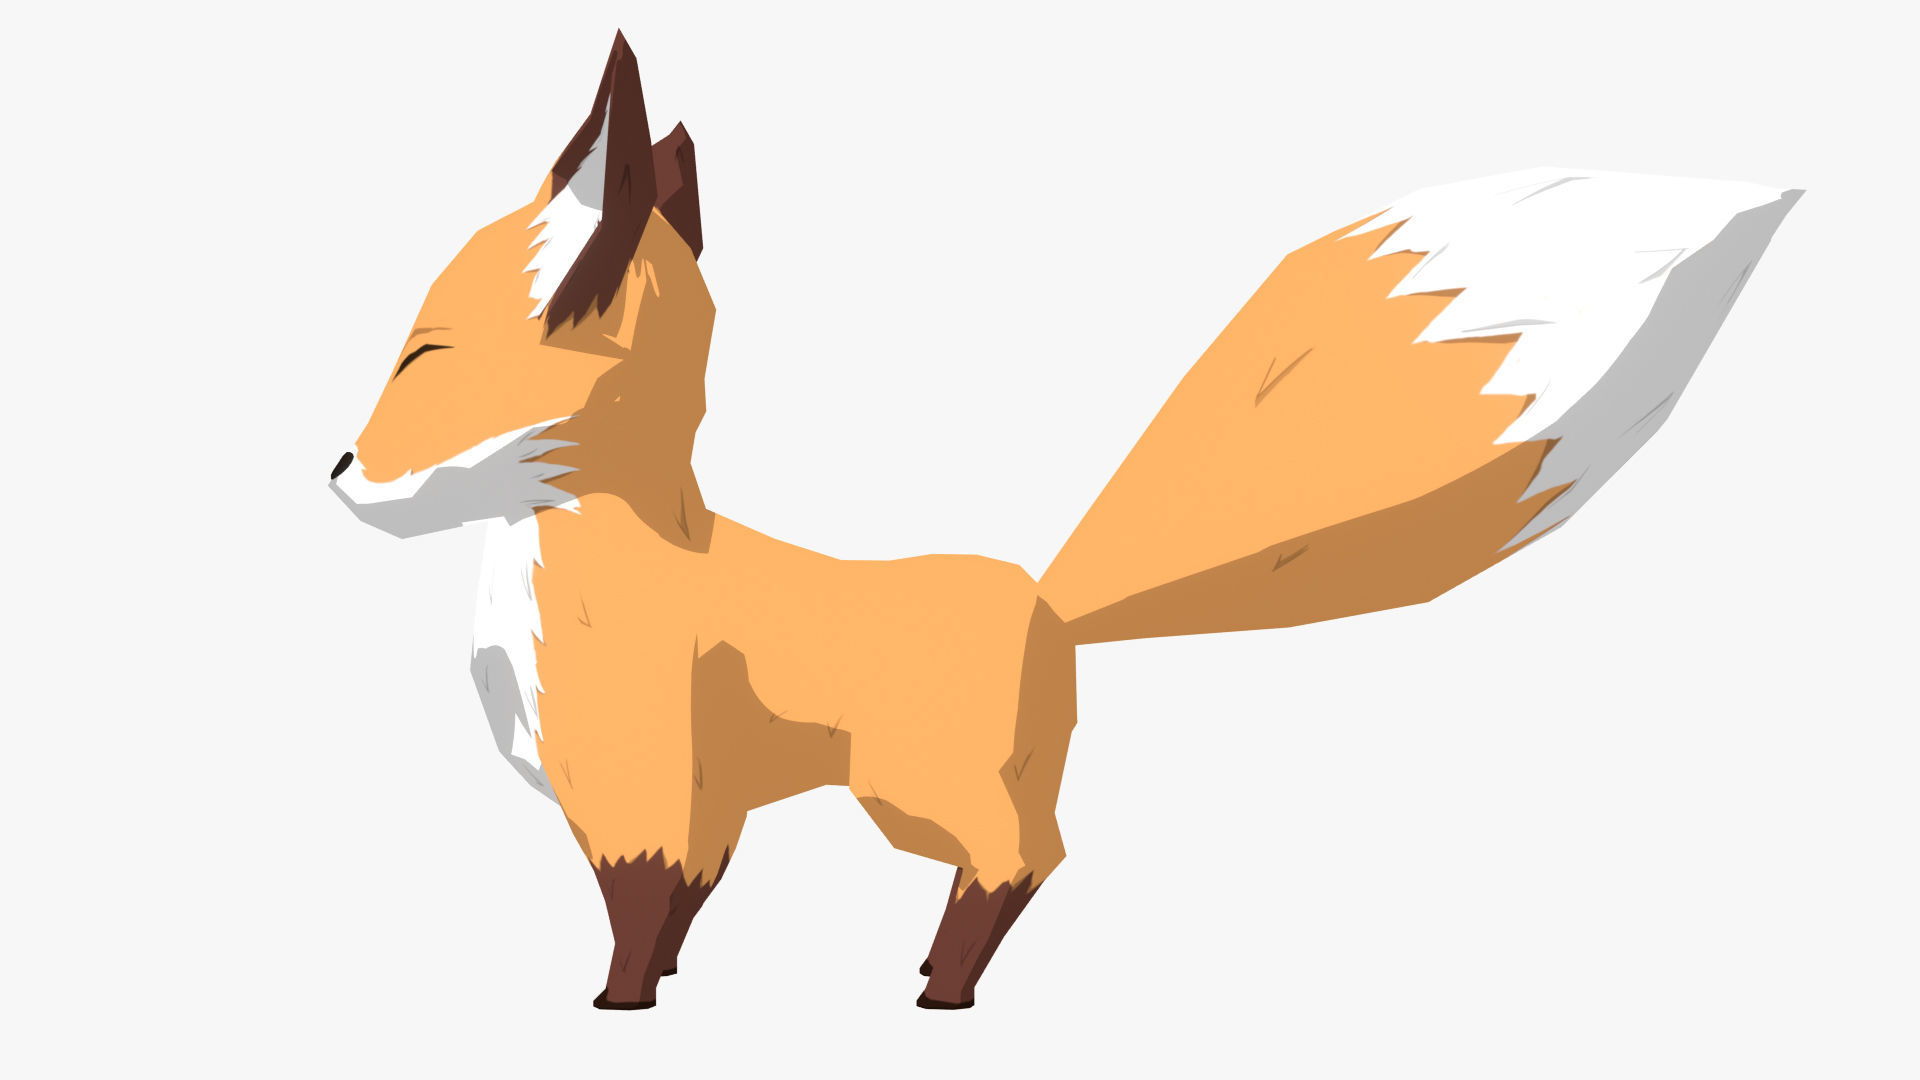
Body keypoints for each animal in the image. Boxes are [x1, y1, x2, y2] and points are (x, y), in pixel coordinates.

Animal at [330, 31, 1799, 1010]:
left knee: (1025, 860)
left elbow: (638, 911)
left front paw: (620, 1008)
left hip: (913, 792)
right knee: (1031, 860)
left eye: (422, 357)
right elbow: (687, 905)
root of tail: (1048, 595)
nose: (337, 469)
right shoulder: (705, 799)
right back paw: (937, 967)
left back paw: (944, 992)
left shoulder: (639, 782)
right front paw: (670, 986)